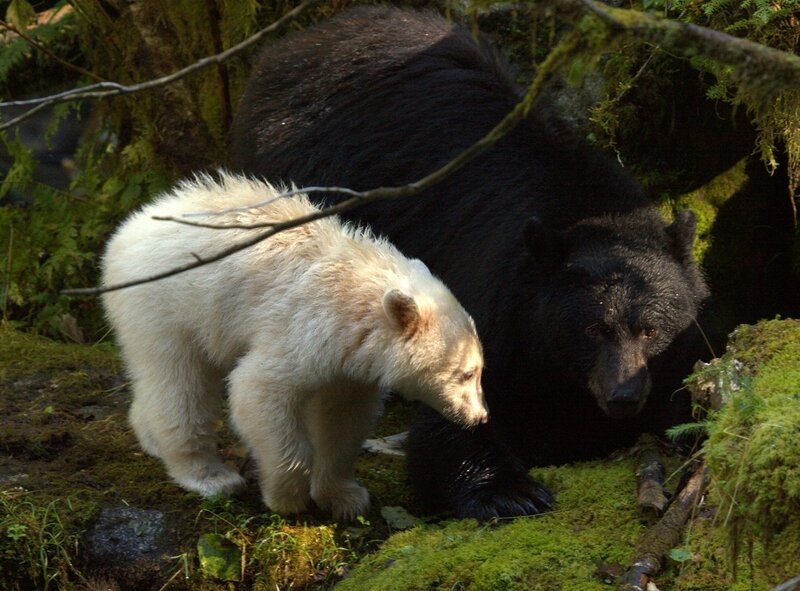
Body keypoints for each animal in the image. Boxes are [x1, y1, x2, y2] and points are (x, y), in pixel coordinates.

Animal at [100, 171, 488, 520]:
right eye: (467, 373)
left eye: (480, 370)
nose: (480, 417)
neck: (355, 298)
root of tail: (125, 232)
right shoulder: (303, 326)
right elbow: (259, 391)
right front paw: (286, 497)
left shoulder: (350, 364)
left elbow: (341, 419)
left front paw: (346, 497)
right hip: (167, 306)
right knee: (181, 384)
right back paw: (211, 476)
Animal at [228, 6, 710, 519]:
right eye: (593, 329)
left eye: (651, 329)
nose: (623, 397)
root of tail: (295, 46)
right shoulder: (494, 293)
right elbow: (462, 401)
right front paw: (509, 490)